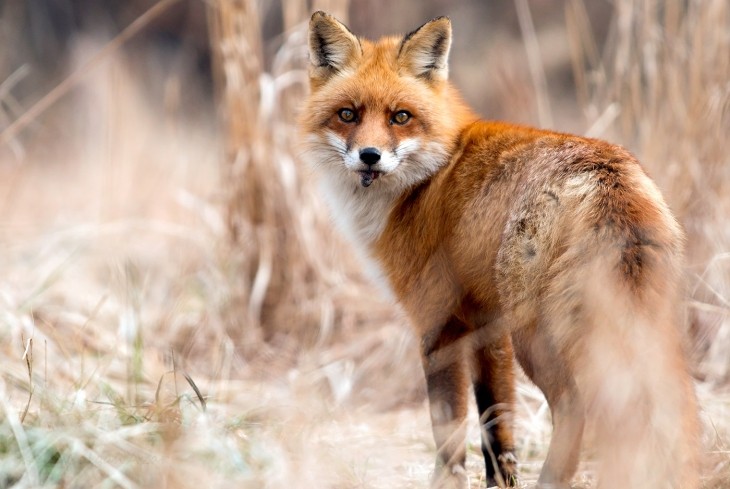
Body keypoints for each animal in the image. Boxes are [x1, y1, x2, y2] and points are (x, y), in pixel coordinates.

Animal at [300, 11, 700, 489]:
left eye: (401, 117)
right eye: (347, 114)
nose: (370, 155)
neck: (427, 179)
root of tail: (605, 174)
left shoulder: (437, 321)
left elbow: (448, 424)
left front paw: (446, 481)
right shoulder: (486, 323)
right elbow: (496, 420)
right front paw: (502, 482)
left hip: (537, 334)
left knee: (575, 405)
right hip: (645, 324)